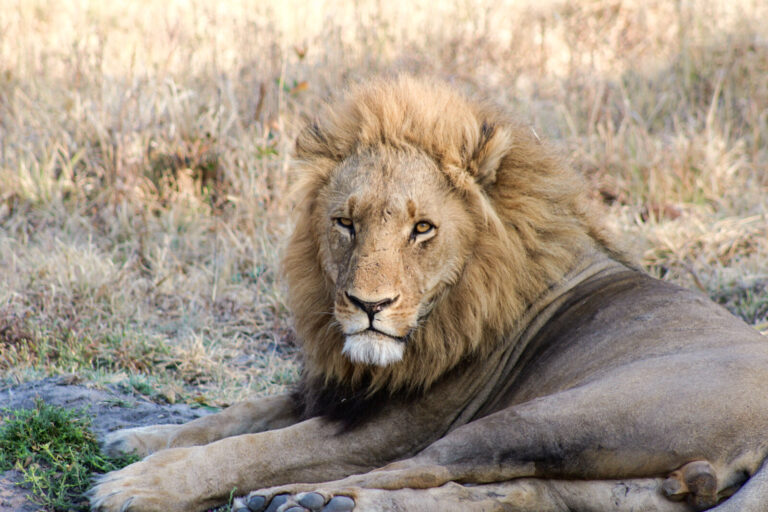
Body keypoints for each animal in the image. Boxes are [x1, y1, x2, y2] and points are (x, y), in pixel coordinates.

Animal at [89, 76, 768, 512]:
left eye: (422, 228)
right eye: (345, 223)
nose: (368, 307)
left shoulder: (392, 424)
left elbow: (255, 448)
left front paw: (133, 486)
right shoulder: (336, 388)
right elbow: (234, 416)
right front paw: (135, 441)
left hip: (555, 416)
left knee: (418, 470)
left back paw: (301, 500)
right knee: (510, 492)